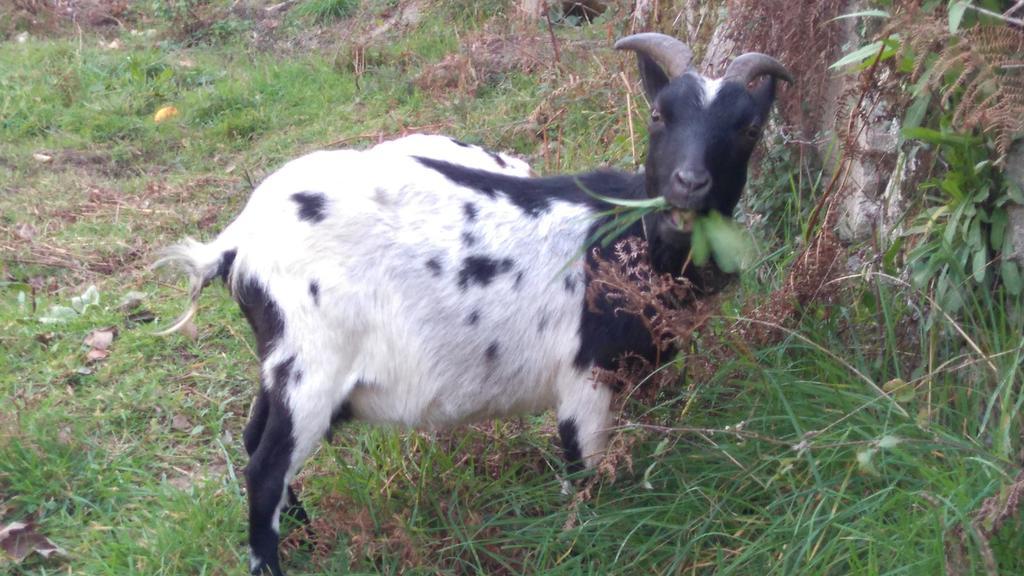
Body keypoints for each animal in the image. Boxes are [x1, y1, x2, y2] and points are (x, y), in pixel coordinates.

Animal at [161, 34, 790, 573]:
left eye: (749, 127)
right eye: (659, 114)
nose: (690, 183)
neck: (623, 237)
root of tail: (238, 243)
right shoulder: (584, 376)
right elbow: (582, 470)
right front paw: (582, 540)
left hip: (282, 359)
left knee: (255, 439)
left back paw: (309, 537)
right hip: (313, 362)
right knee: (265, 467)